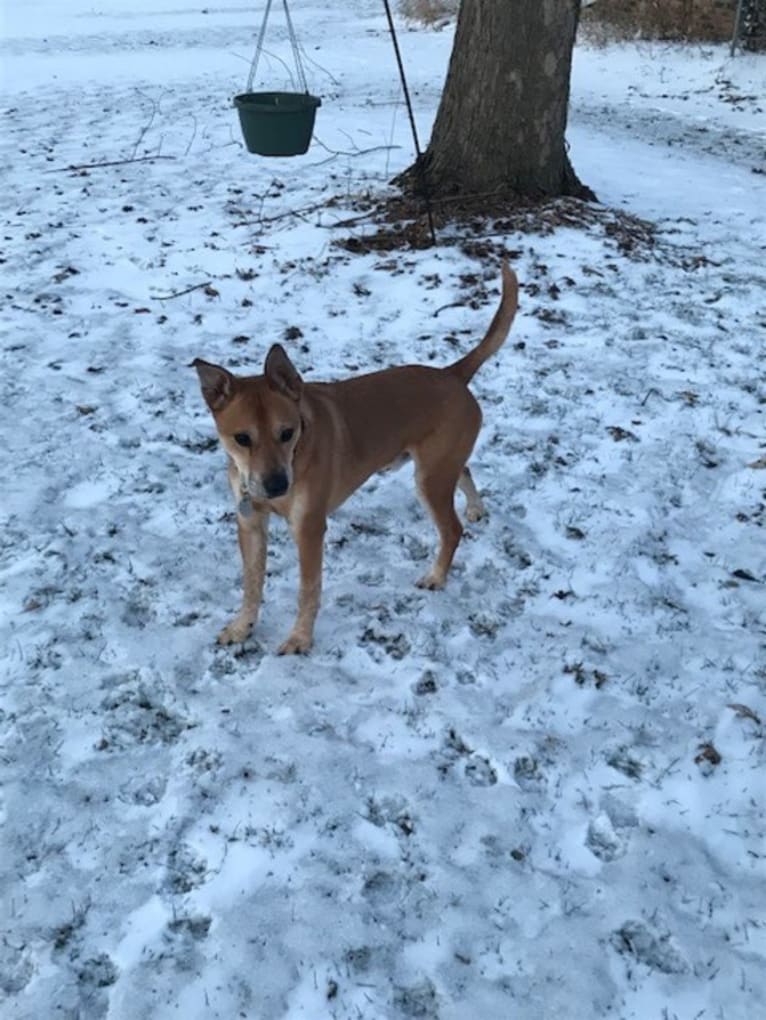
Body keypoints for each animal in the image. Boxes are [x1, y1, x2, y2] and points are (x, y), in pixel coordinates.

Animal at [192, 261, 522, 652]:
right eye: (242, 438)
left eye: (287, 432)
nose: (275, 486)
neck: (295, 457)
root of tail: (452, 374)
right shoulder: (251, 522)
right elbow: (251, 585)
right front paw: (242, 626)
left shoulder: (309, 528)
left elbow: (308, 590)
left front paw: (300, 638)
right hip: (441, 463)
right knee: (465, 470)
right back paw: (475, 506)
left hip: (430, 479)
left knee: (452, 529)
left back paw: (437, 576)